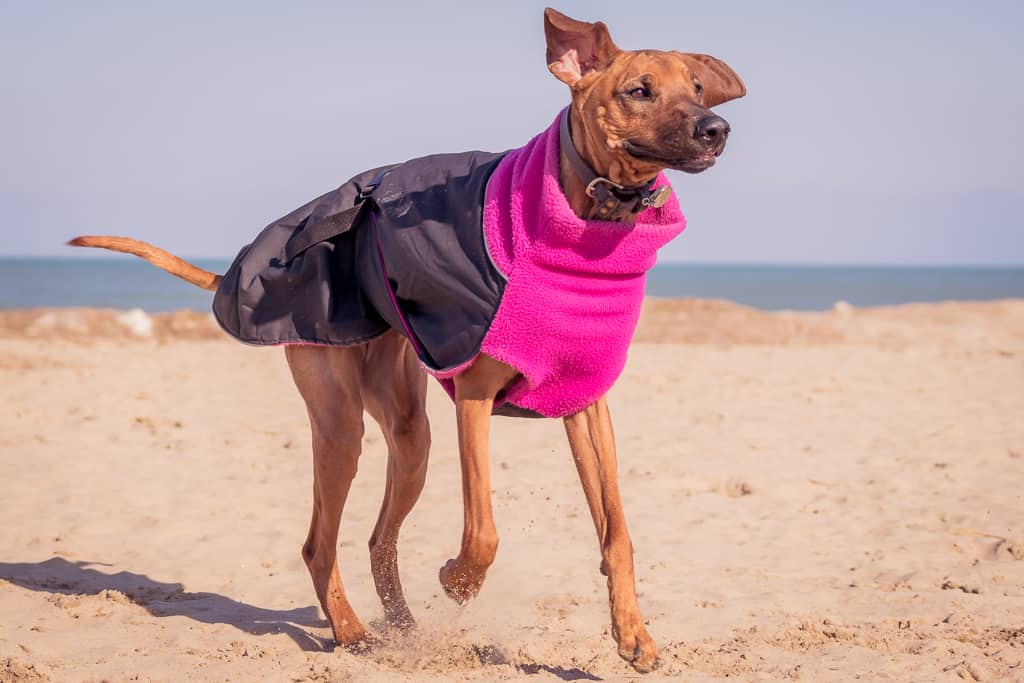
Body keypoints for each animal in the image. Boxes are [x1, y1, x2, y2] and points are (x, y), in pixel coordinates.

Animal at [72, 9, 745, 671]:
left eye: (697, 88)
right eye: (640, 91)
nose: (716, 129)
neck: (585, 228)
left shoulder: (585, 404)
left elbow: (617, 531)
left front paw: (633, 634)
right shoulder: (474, 395)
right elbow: (483, 531)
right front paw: (459, 582)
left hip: (408, 430)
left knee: (378, 539)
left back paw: (403, 632)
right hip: (339, 423)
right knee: (320, 543)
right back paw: (352, 631)